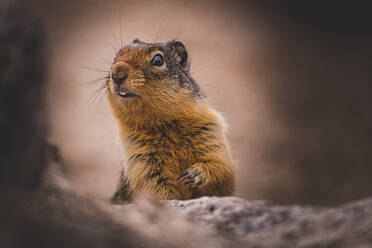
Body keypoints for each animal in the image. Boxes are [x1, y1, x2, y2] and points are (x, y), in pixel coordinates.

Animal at [107, 37, 235, 202]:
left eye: (158, 59)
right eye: (116, 56)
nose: (117, 73)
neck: (164, 124)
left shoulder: (211, 135)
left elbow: (221, 169)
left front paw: (195, 173)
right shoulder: (139, 159)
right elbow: (155, 189)